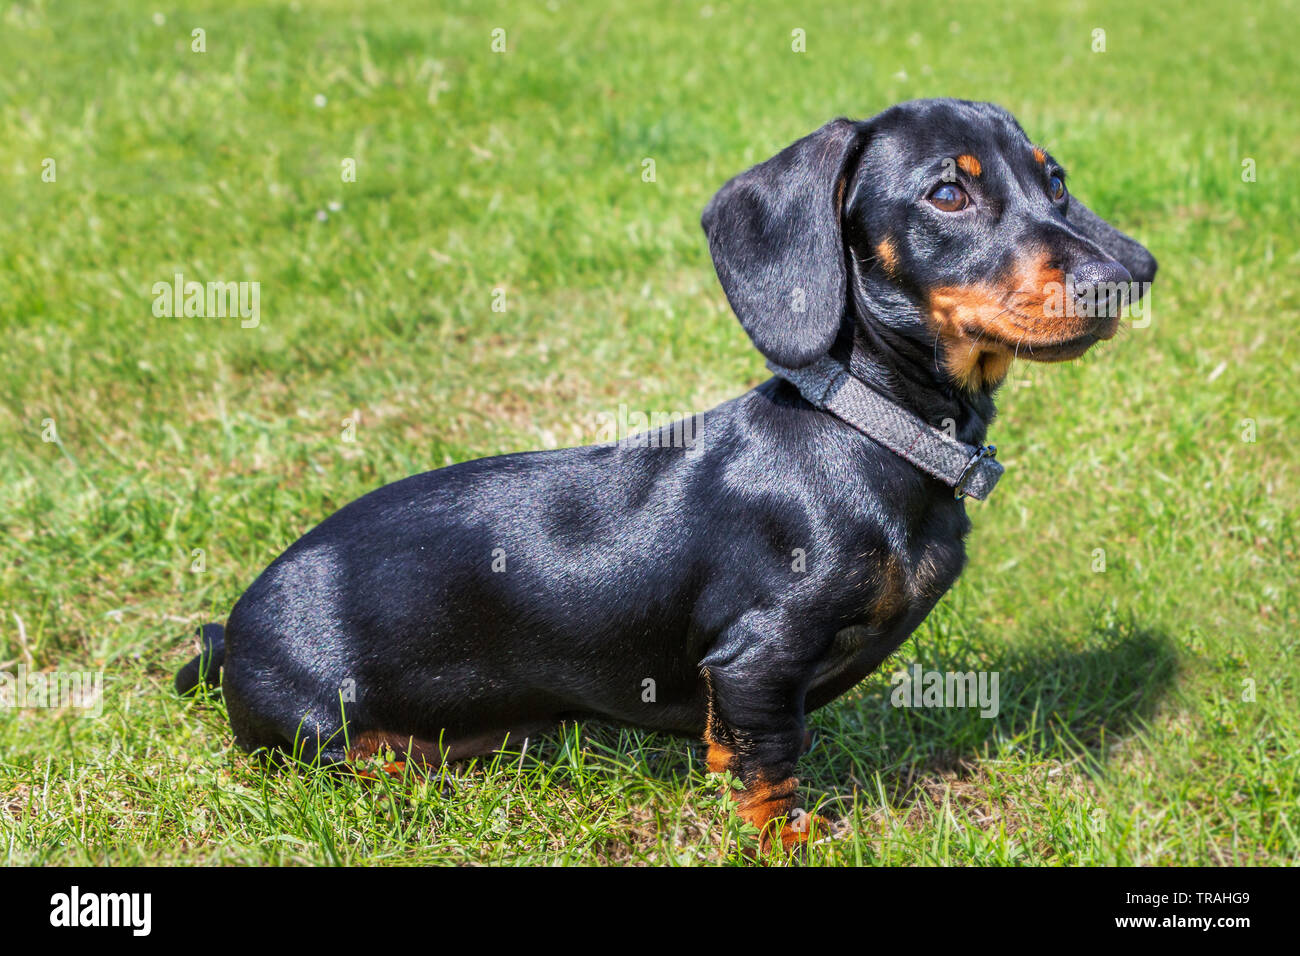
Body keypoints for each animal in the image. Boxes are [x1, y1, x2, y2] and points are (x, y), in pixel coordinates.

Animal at [175, 100, 1159, 853]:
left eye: (1055, 182)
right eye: (948, 192)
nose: (1126, 275)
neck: (868, 428)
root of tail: (230, 631)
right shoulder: (757, 656)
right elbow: (769, 764)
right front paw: (786, 840)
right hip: (320, 728)